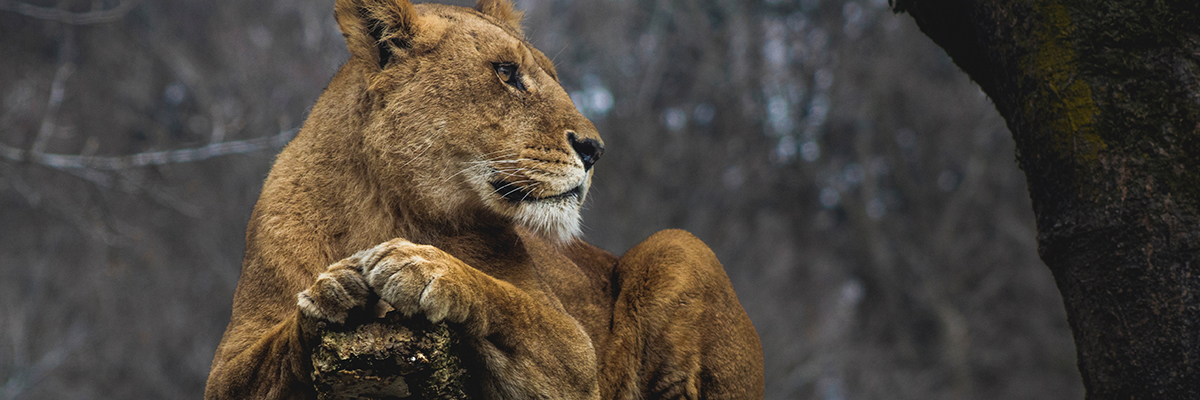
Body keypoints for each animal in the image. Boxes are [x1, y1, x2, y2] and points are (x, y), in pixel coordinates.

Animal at [203, 0, 764, 398]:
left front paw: (425, 268)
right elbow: (277, 345)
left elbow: (506, 300)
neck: (386, 204)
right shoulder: (228, 366)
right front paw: (330, 292)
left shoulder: (576, 360)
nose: (595, 149)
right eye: (506, 72)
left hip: (680, 246)